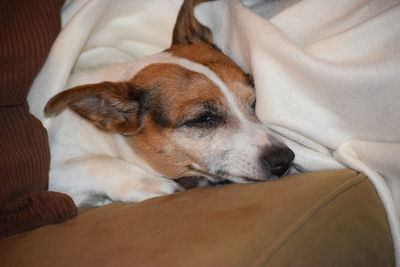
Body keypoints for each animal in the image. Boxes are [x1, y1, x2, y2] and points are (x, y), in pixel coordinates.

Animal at [43, 0, 294, 207]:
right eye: (203, 119)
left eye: (254, 102)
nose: (285, 159)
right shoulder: (55, 170)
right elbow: (93, 163)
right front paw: (149, 183)